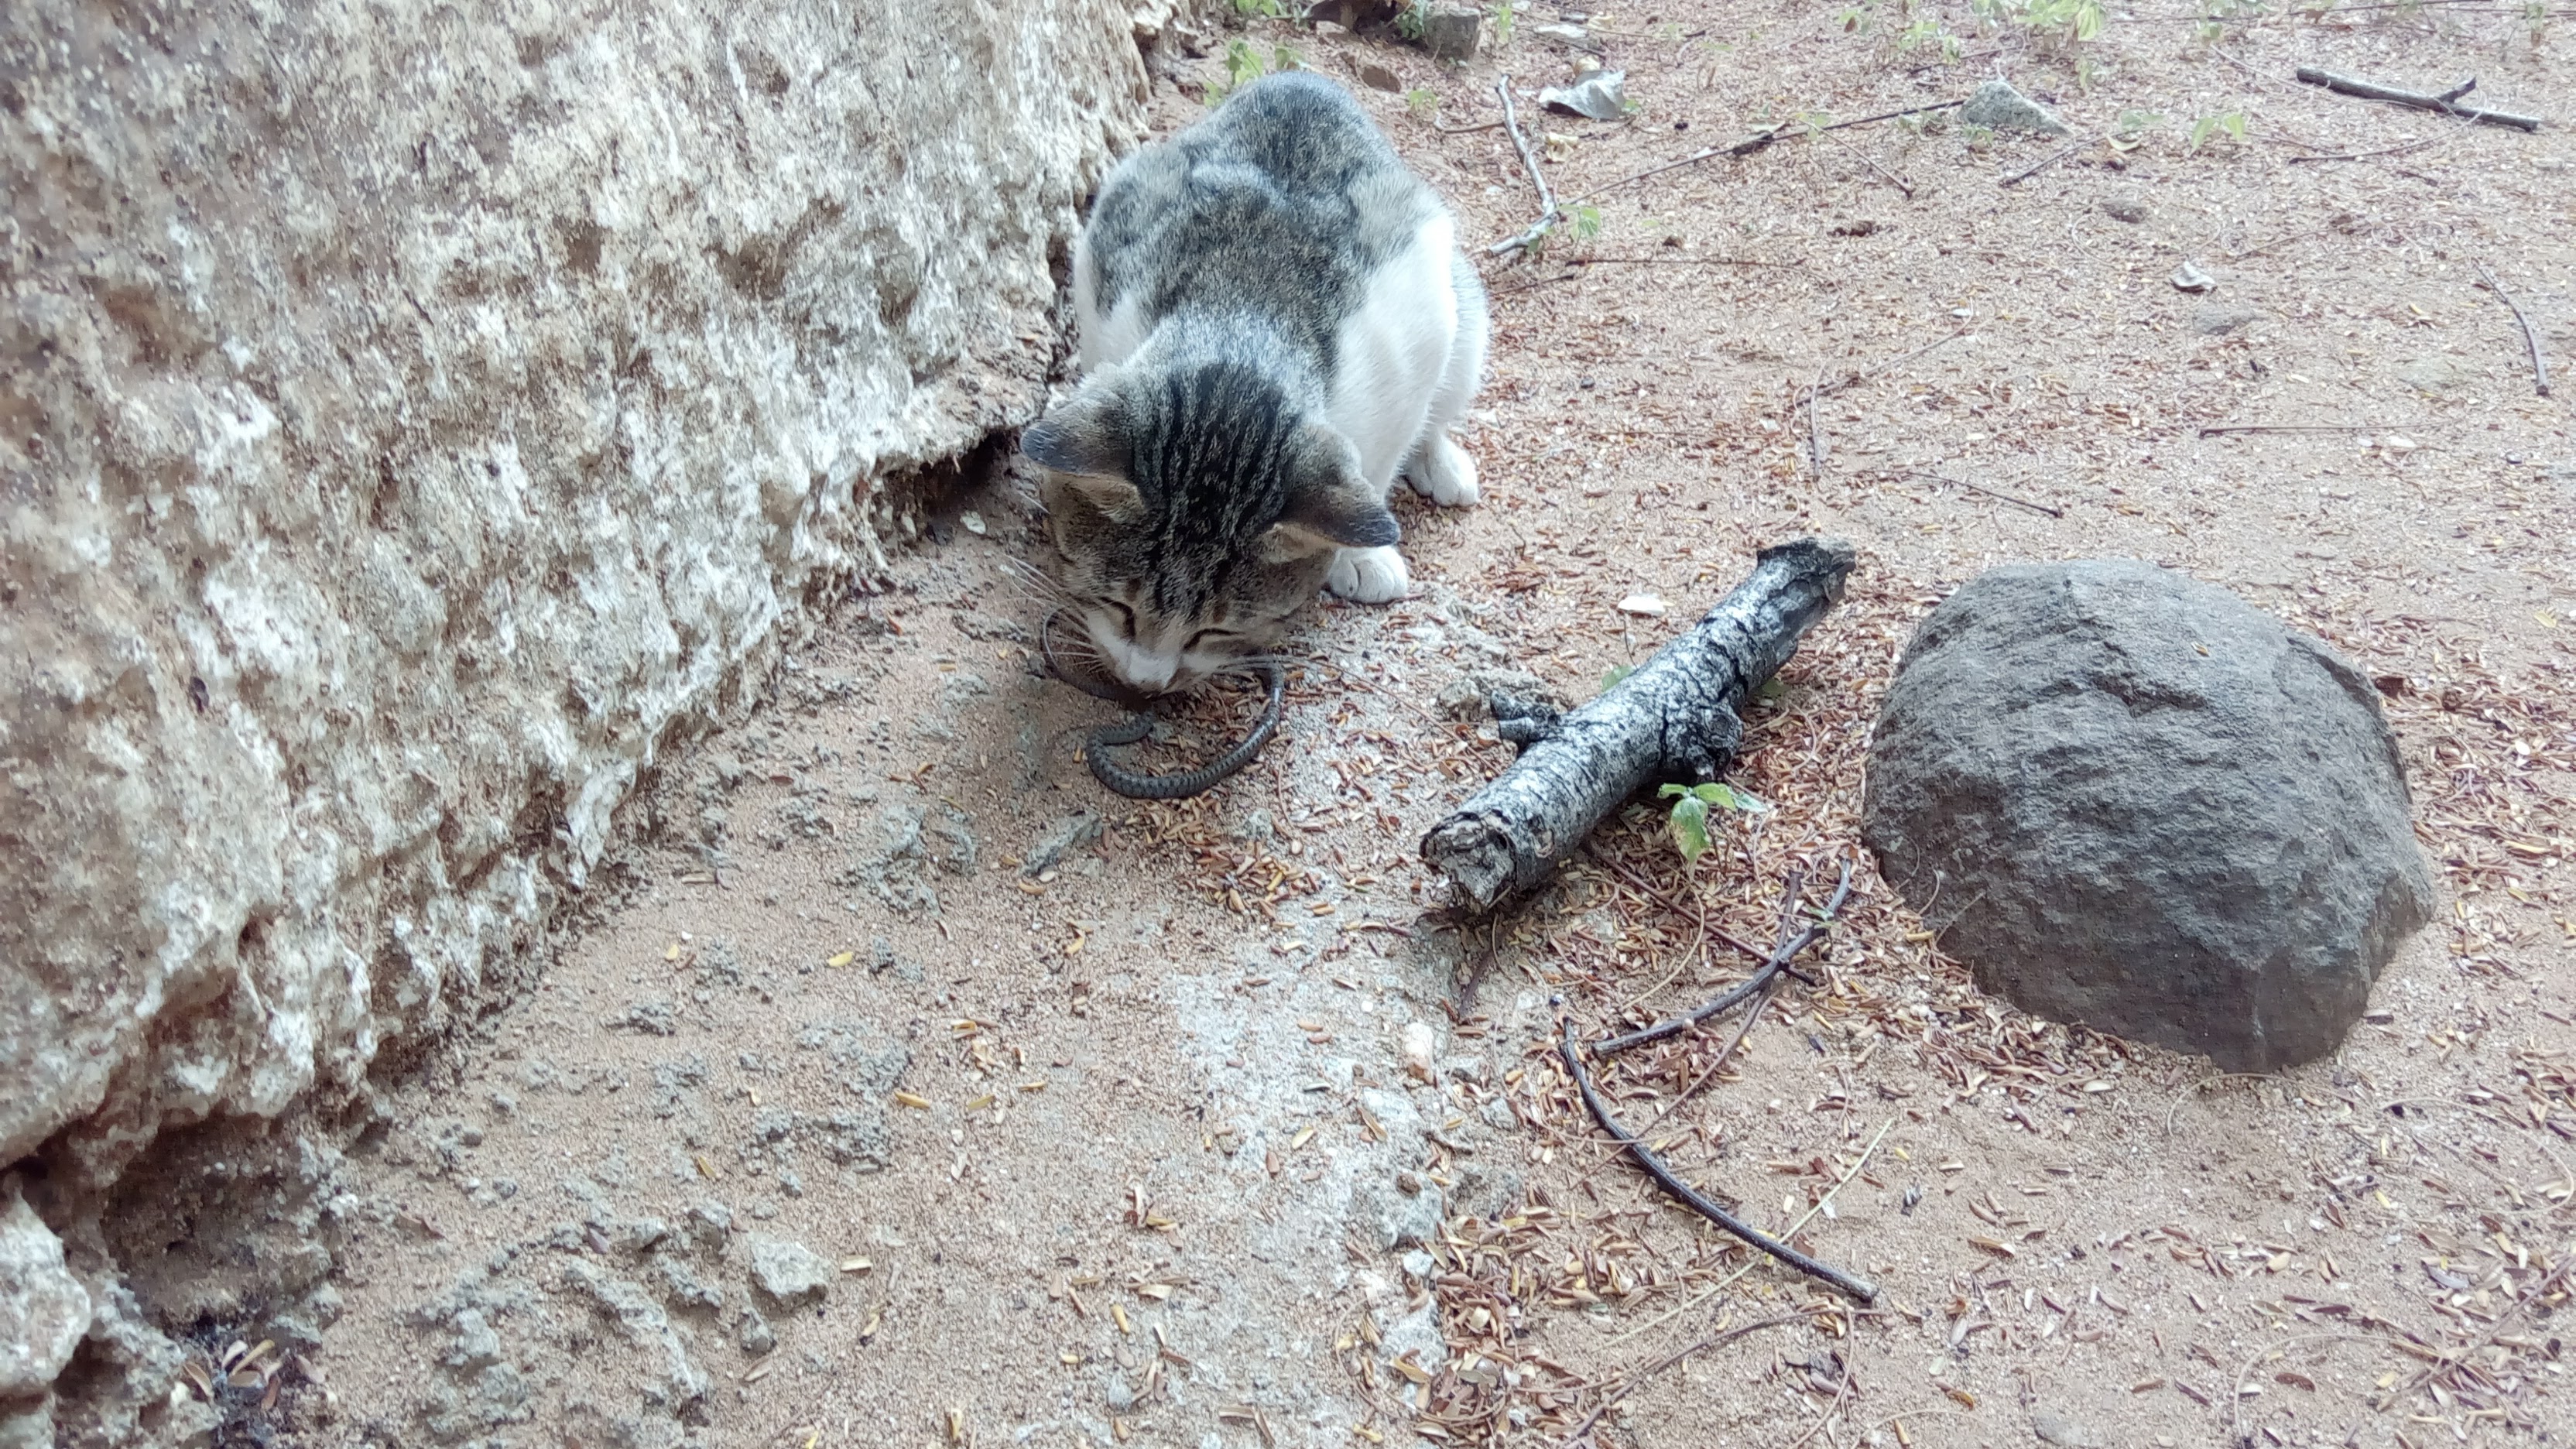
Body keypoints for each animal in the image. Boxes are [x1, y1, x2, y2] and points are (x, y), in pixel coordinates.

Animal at [1015, 71, 1483, 696]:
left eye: (1213, 633)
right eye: (1120, 608)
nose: (1146, 684)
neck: (1245, 321)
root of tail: (1305, 78)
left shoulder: (1418, 331)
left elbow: (1385, 455)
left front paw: (1358, 556)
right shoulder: (1105, 285)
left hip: (1465, 309)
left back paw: (1442, 464)